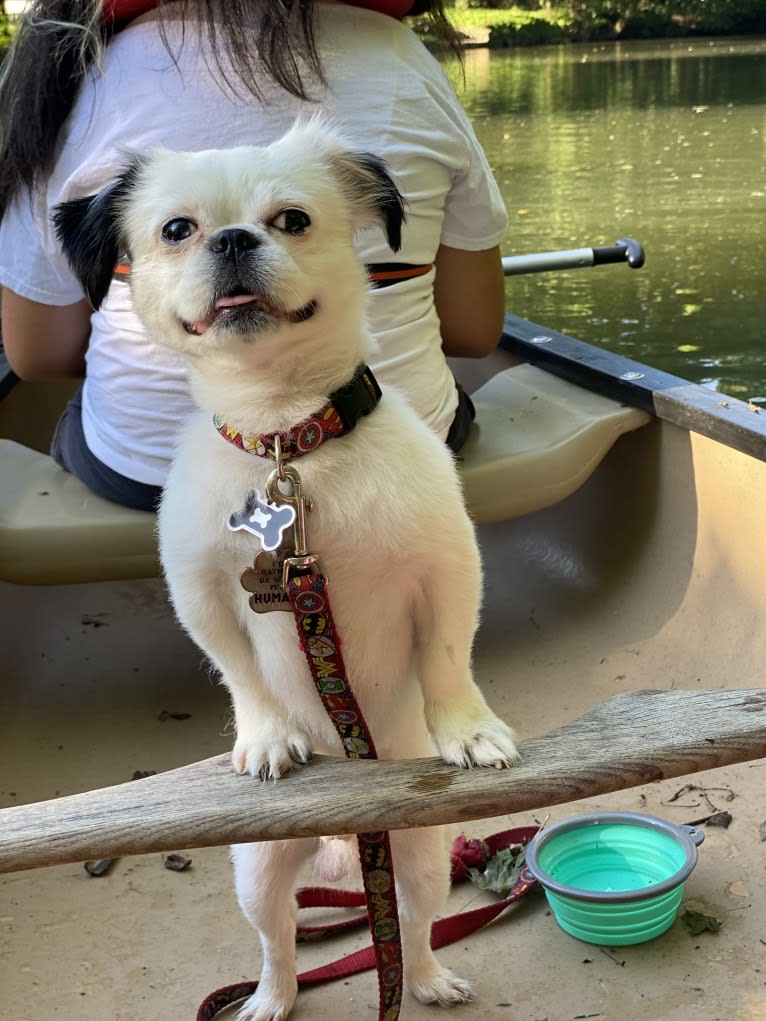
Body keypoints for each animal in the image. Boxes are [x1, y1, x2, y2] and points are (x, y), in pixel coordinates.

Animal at [55, 121, 522, 1021]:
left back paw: (427, 977)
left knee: (412, 924)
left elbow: (449, 657)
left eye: (293, 219)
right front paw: (268, 734)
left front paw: (469, 730)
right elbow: (241, 673)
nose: (236, 238)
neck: (288, 443)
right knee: (277, 945)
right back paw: (268, 999)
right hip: (261, 872)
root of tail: (339, 831)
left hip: (420, 852)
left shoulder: (448, 564)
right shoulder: (201, 591)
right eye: (177, 230)